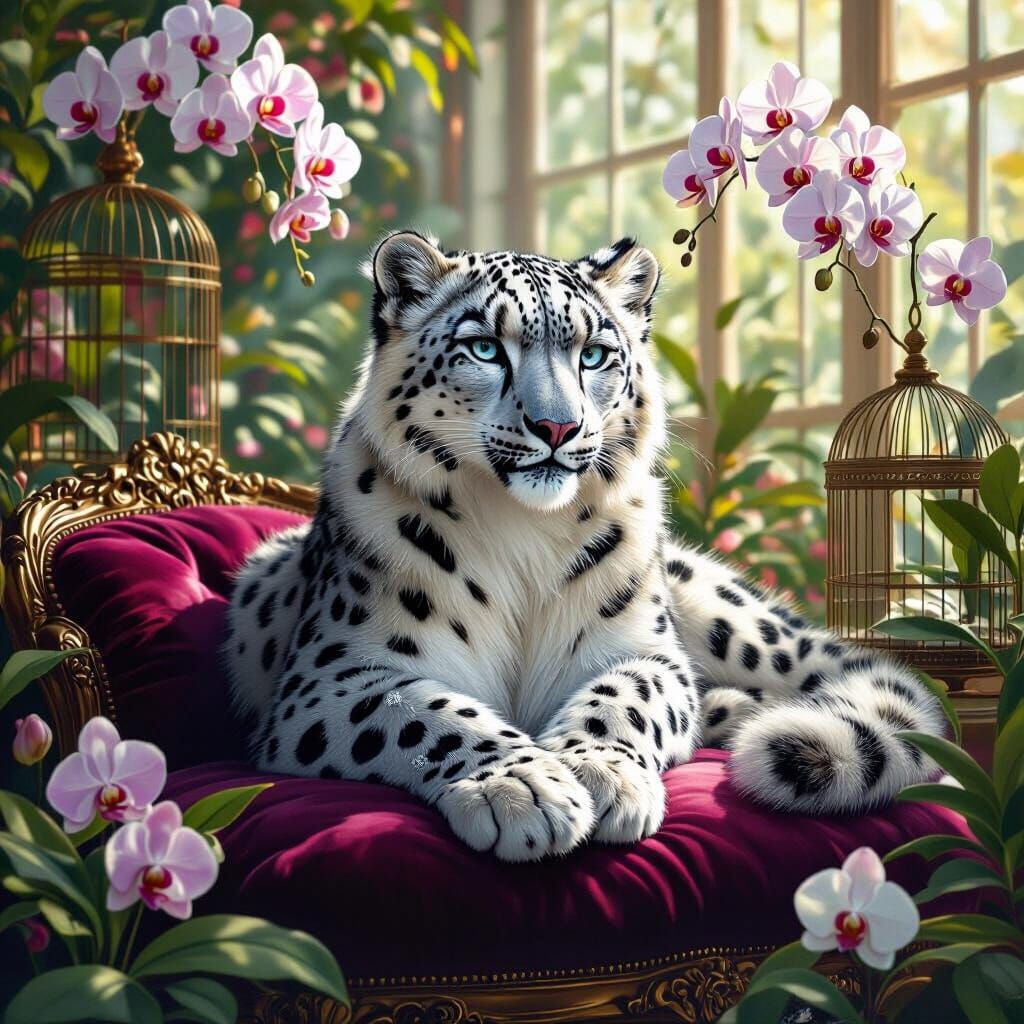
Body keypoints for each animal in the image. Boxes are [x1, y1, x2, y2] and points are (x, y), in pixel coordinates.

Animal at [224, 230, 946, 863]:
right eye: (484, 347)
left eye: (594, 354)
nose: (557, 426)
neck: (523, 530)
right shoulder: (334, 674)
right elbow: (426, 713)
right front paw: (522, 790)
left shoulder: (641, 648)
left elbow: (625, 698)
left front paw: (600, 775)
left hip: (725, 617)